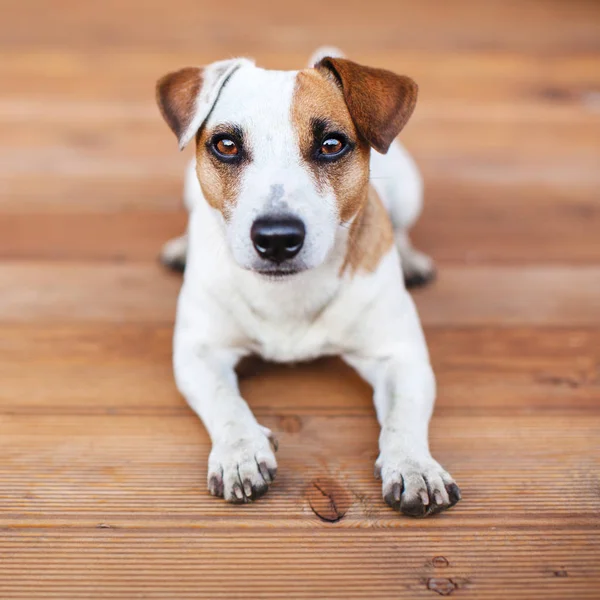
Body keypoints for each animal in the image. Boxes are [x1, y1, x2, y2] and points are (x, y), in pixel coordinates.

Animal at [155, 48, 460, 516]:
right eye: (226, 145)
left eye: (331, 145)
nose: (277, 237)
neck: (287, 295)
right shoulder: (199, 351)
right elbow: (225, 400)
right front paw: (241, 453)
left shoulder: (400, 356)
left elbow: (404, 416)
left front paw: (413, 465)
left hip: (410, 189)